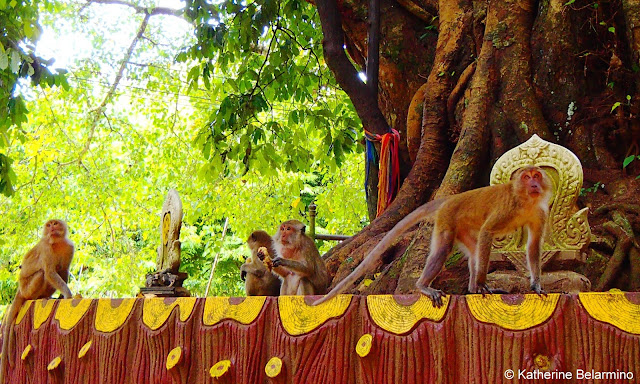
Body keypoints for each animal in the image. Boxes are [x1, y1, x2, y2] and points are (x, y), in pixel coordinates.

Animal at [0, 219, 74, 380]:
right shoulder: (46, 248)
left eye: (55, 223)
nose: (51, 227)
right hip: (28, 288)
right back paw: (37, 297)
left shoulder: (69, 247)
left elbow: (63, 270)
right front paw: (67, 294)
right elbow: (50, 272)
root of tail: (19, 288)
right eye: (49, 225)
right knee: (42, 273)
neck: (56, 242)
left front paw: (62, 295)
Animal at [312, 166, 552, 308]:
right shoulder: (507, 208)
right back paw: (425, 286)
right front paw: (484, 284)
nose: (534, 183)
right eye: (527, 177)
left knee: (474, 249)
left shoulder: (540, 213)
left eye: (537, 175)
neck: (525, 200)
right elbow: (488, 231)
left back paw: (472, 289)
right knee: (445, 248)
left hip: (460, 226)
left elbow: (533, 246)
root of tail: (451, 198)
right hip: (447, 219)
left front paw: (536, 285)